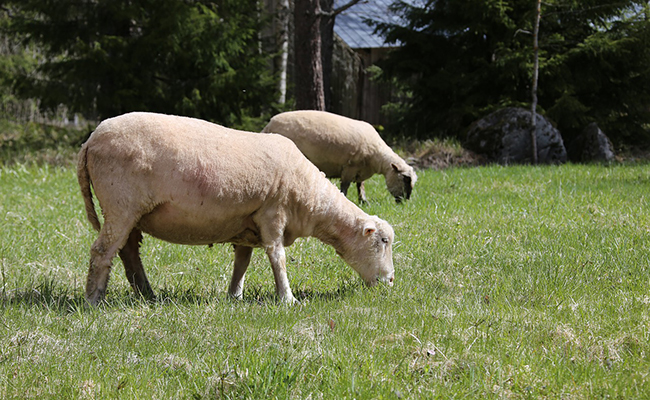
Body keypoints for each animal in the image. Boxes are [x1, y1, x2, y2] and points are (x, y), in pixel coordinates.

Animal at [74, 112, 390, 306]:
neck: (311, 198)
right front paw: (288, 298)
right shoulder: (272, 214)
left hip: (131, 212)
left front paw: (234, 295)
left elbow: (242, 262)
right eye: (383, 241)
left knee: (128, 252)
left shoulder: (247, 226)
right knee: (102, 251)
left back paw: (146, 294)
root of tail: (90, 140)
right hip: (120, 204)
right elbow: (278, 257)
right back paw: (93, 300)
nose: (390, 281)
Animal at [262, 109, 418, 203]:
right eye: (405, 179)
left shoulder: (360, 171)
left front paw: (364, 201)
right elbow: (345, 186)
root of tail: (268, 125)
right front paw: (345, 198)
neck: (377, 157)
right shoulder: (350, 167)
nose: (406, 200)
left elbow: (360, 186)